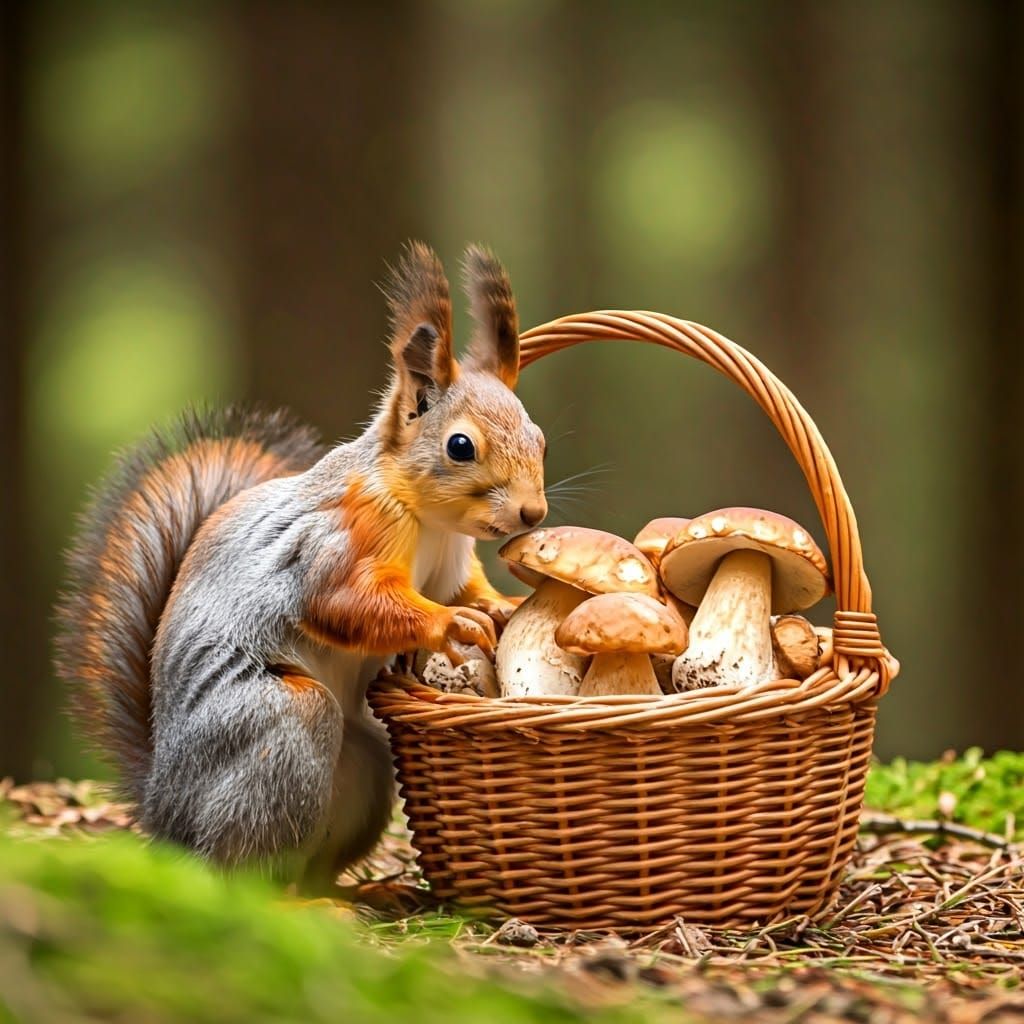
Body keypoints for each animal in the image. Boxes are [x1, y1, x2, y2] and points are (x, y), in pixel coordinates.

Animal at [55, 242, 547, 890]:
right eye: (460, 446)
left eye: (540, 436)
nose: (532, 513)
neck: (432, 523)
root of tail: (165, 810)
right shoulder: (344, 539)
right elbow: (343, 602)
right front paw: (452, 625)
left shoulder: (451, 567)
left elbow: (467, 592)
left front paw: (503, 606)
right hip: (281, 723)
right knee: (237, 869)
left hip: (365, 765)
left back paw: (345, 895)